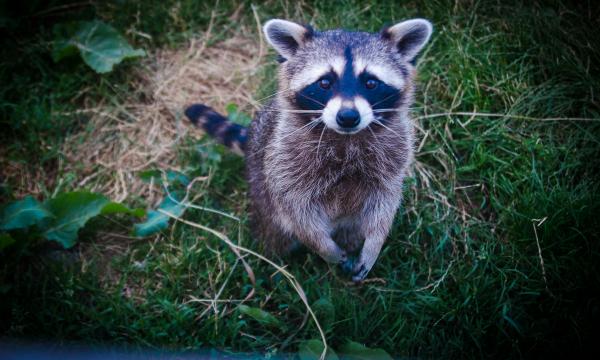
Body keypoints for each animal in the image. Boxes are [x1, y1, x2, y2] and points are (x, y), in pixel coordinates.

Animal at [186, 17, 432, 282]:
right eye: (324, 82)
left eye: (371, 82)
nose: (348, 117)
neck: (345, 137)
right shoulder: (285, 160)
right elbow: (296, 212)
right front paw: (324, 247)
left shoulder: (394, 155)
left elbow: (385, 204)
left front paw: (374, 244)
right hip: (260, 187)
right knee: (274, 233)